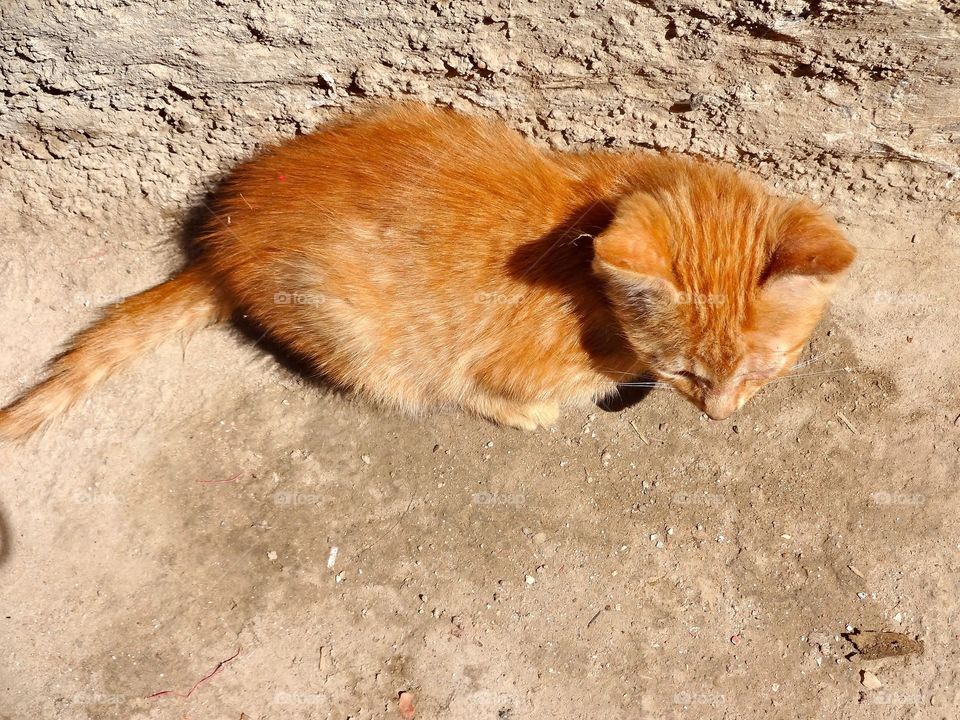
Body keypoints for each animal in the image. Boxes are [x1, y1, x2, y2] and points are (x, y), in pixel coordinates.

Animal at [0, 101, 856, 438]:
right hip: (352, 327)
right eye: (685, 373)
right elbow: (476, 385)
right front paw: (523, 410)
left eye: (763, 369)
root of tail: (220, 245)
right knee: (400, 380)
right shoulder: (498, 359)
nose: (721, 417)